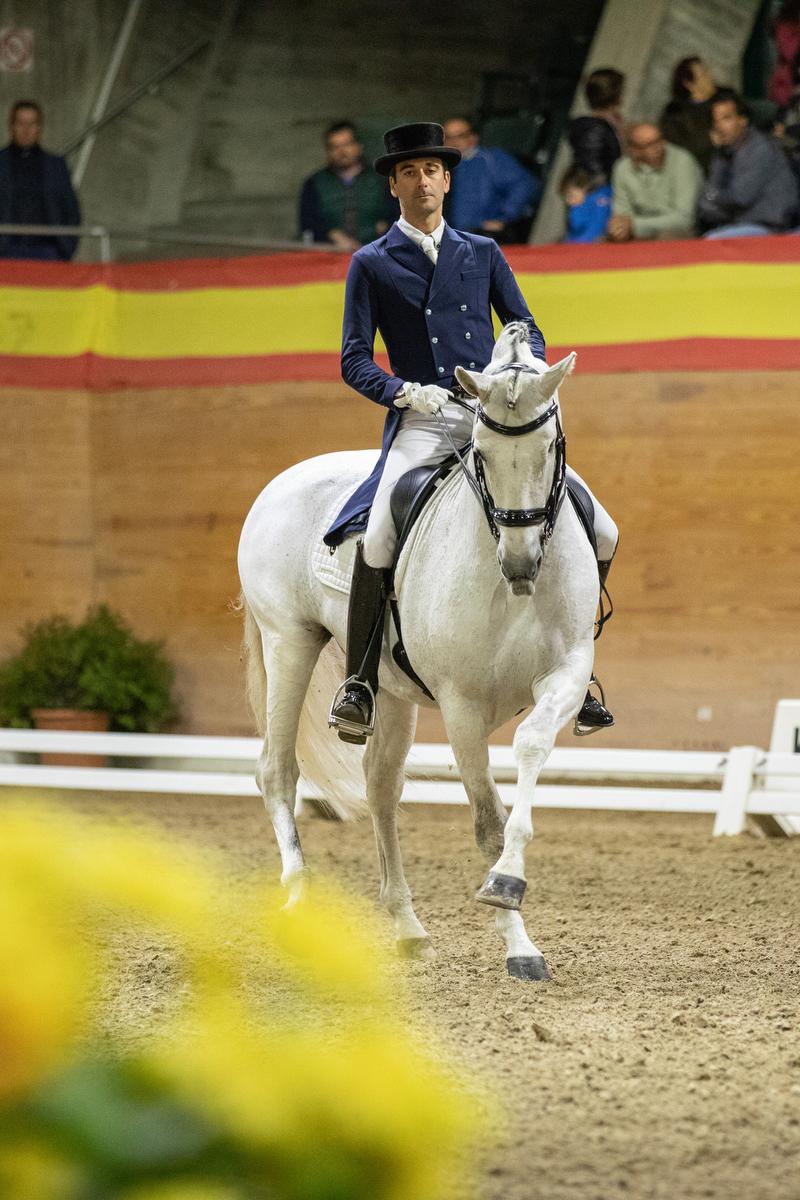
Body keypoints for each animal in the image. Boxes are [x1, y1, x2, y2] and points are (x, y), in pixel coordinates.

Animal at [239, 321, 599, 984]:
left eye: (549, 450)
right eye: (481, 454)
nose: (520, 564)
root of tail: (283, 480)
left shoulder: (563, 675)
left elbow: (531, 745)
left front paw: (511, 890)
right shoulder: (461, 707)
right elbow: (487, 823)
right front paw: (513, 926)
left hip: (390, 689)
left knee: (380, 788)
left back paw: (407, 926)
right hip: (288, 643)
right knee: (277, 771)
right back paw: (298, 901)